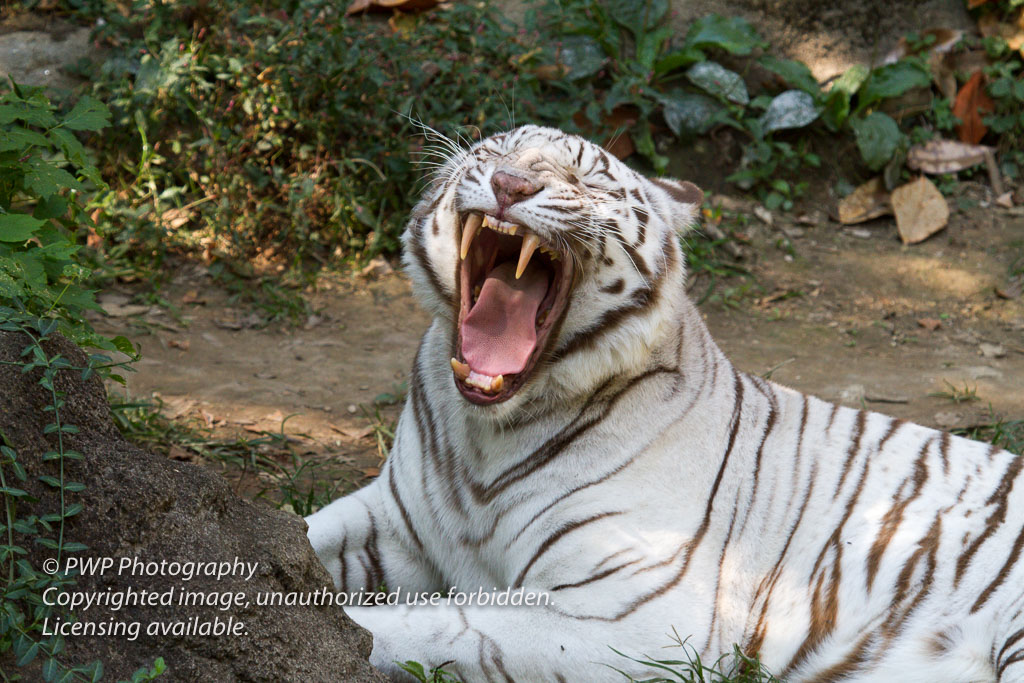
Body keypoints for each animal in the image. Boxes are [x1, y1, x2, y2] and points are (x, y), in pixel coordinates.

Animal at [307, 125, 1024, 679]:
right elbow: (304, 536)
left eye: (586, 178)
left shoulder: (637, 615)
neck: (489, 432)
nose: (509, 184)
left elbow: (432, 625)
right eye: (493, 151)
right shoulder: (393, 520)